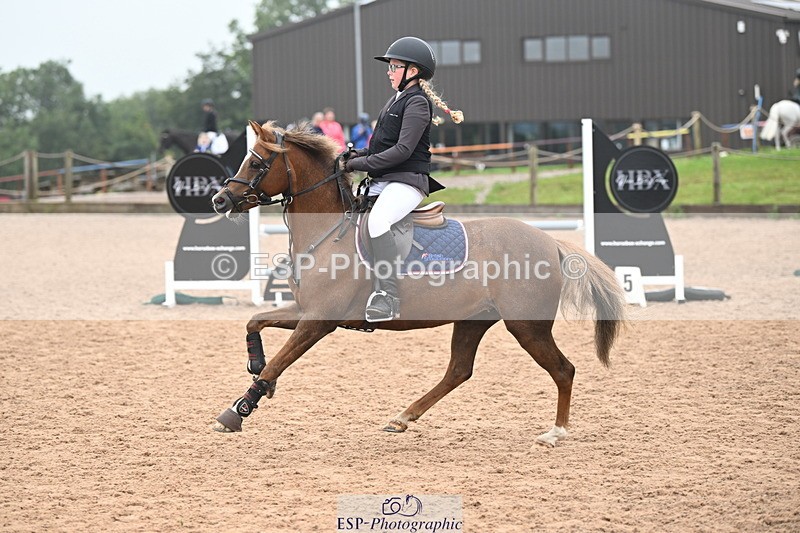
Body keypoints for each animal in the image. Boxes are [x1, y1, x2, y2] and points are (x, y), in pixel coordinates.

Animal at [209, 120, 627, 447]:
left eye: (256, 162)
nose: (220, 200)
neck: (327, 233)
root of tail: (549, 241)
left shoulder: (319, 320)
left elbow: (279, 363)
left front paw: (238, 410)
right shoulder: (305, 310)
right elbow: (255, 323)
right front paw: (255, 364)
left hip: (527, 326)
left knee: (563, 370)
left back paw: (556, 432)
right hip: (474, 320)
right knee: (459, 370)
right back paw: (402, 417)